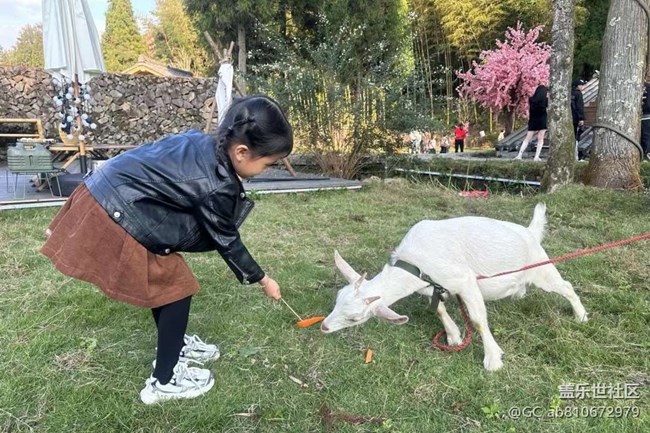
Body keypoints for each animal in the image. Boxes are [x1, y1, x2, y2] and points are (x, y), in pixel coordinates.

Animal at [320, 203, 588, 371]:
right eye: (337, 299)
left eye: (354, 318)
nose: (324, 327)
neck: (415, 262)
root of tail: (530, 232)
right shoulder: (432, 287)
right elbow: (439, 309)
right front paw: (453, 336)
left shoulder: (465, 281)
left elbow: (478, 320)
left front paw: (493, 359)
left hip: (542, 268)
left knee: (565, 286)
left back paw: (581, 315)